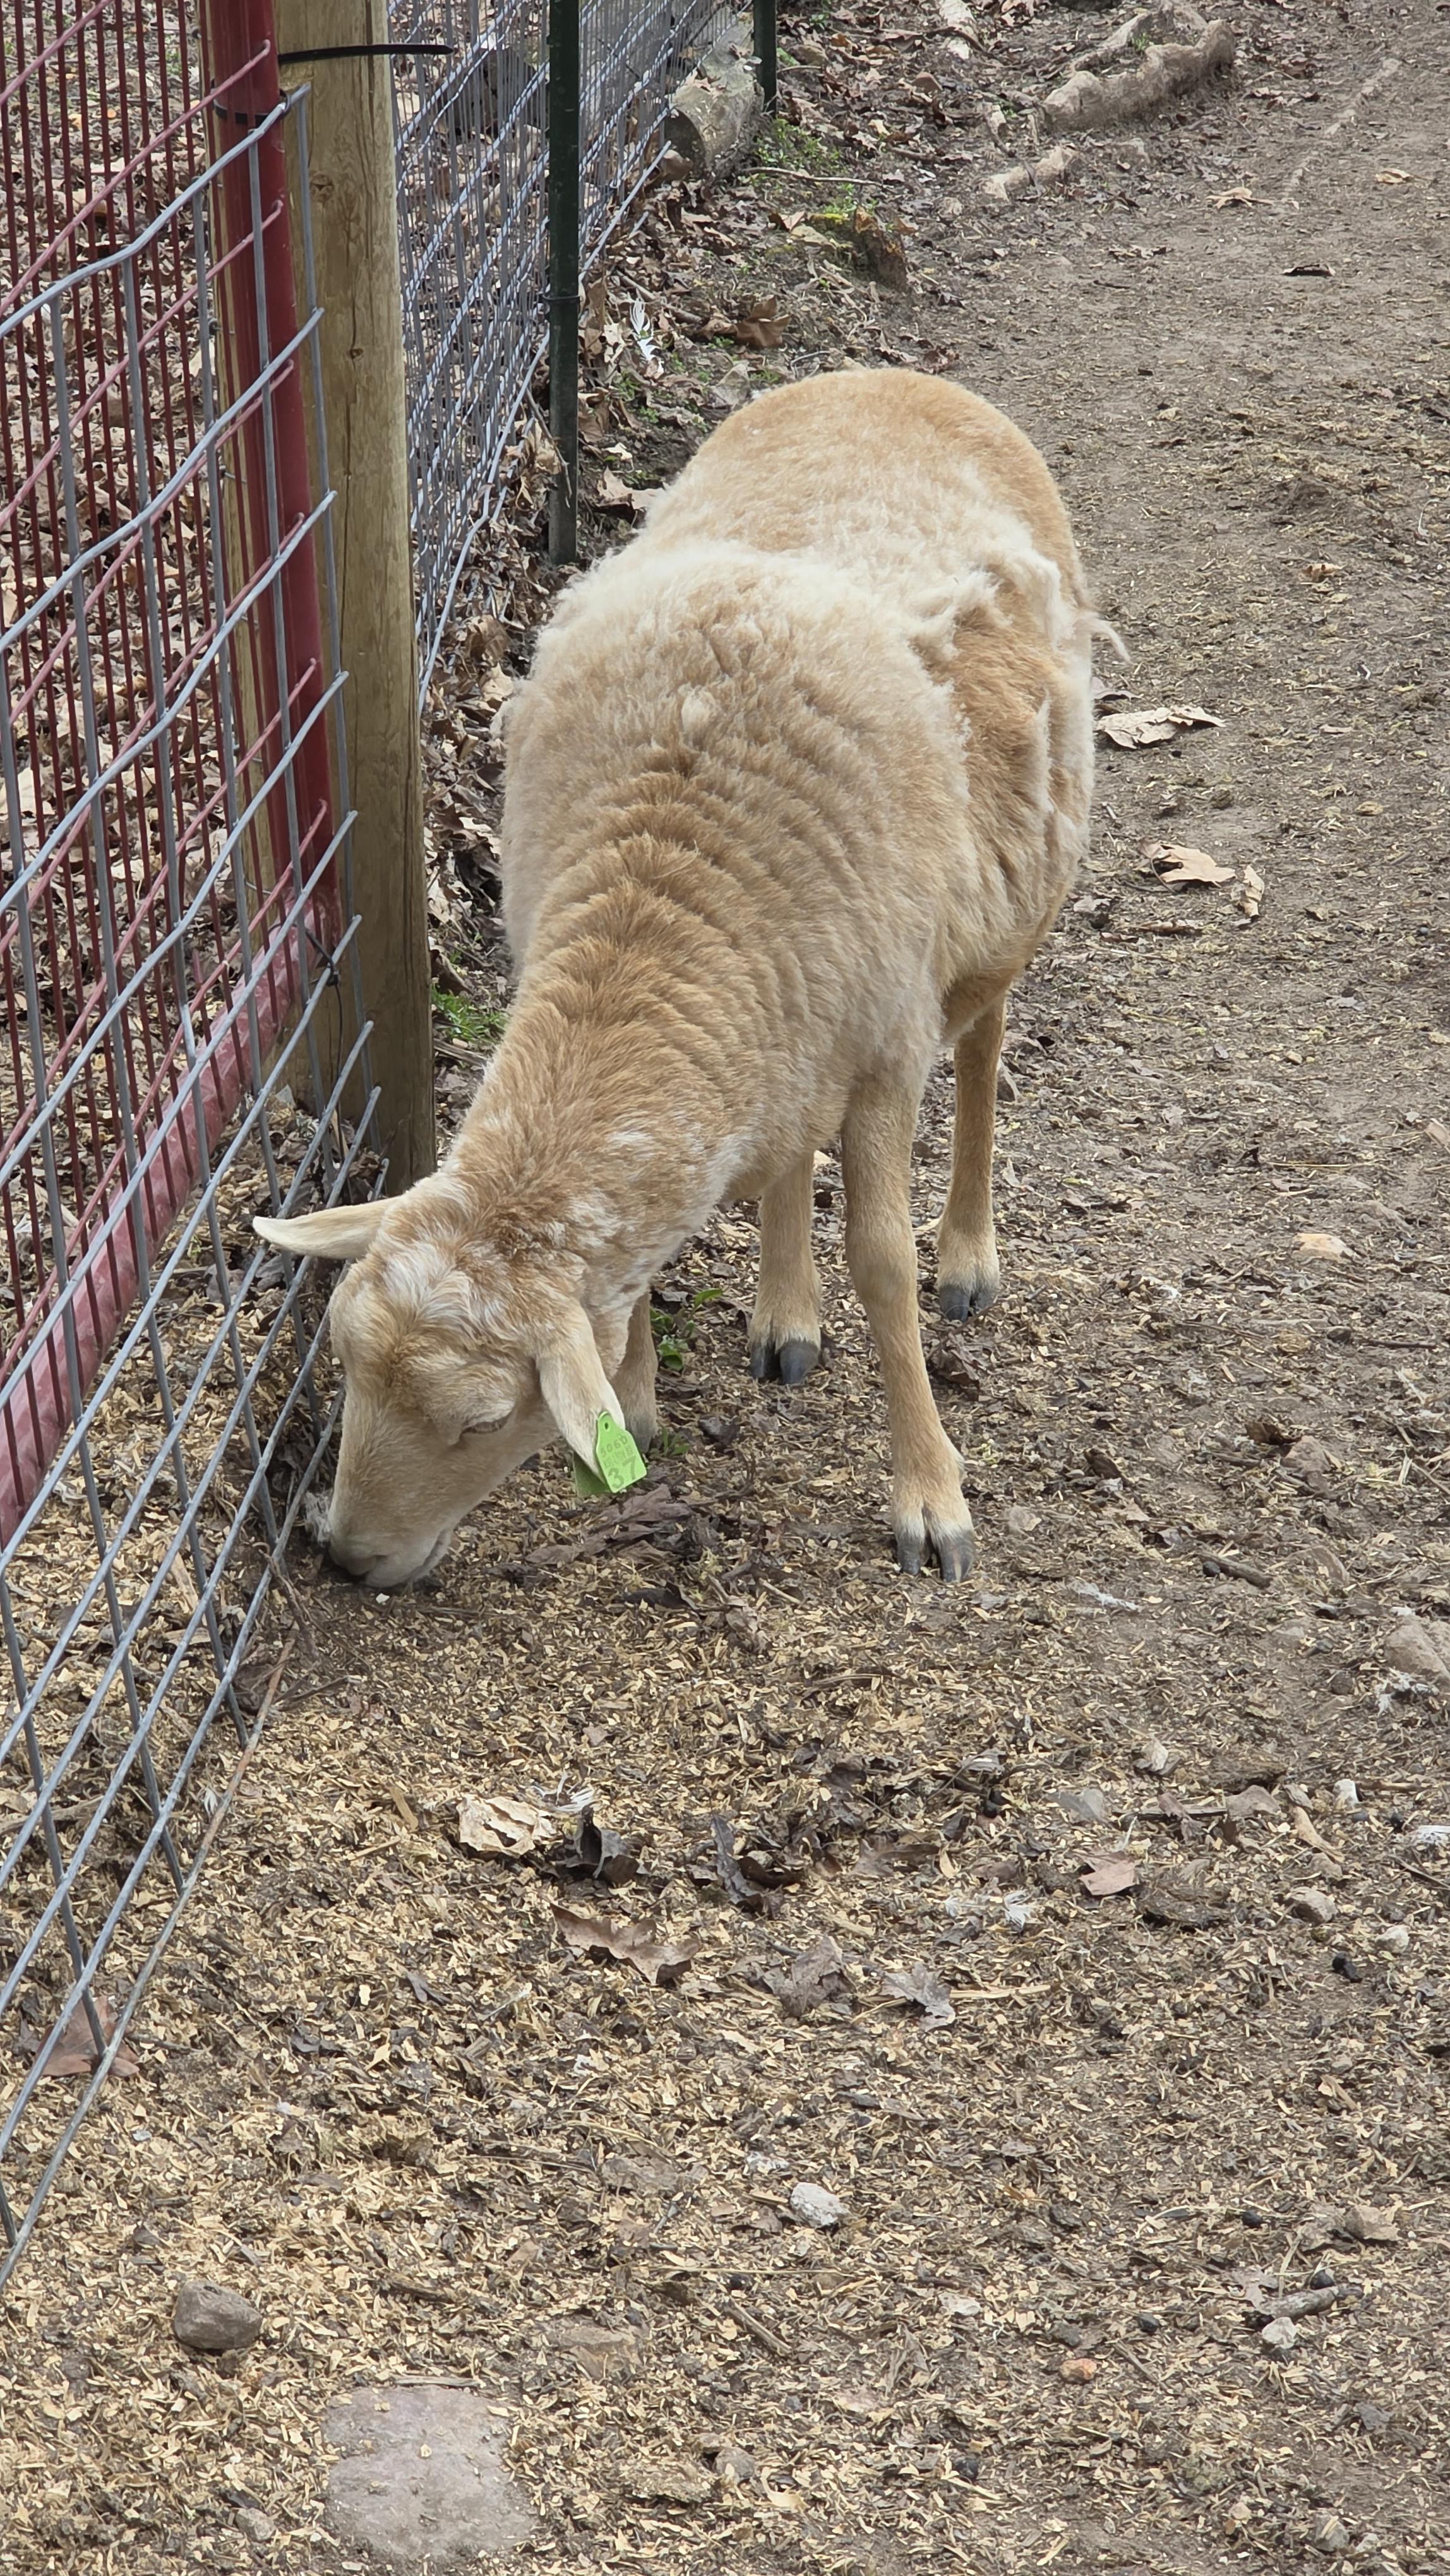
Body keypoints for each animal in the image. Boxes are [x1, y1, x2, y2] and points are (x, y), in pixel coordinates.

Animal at [256, 367, 1110, 1589]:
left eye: (480, 1422)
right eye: (345, 1360)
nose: (346, 1559)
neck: (661, 903)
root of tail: (891, 375)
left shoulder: (889, 1048)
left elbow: (882, 1268)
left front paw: (930, 1496)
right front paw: (643, 1397)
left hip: (998, 924)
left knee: (987, 1053)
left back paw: (966, 1255)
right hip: (798, 1018)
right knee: (788, 1146)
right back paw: (786, 1315)